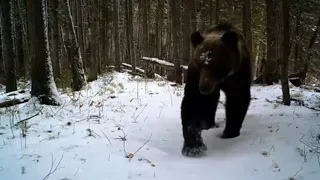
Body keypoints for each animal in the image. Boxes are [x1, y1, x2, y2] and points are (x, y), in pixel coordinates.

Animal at [180, 21, 252, 156]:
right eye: (200, 62)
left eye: (215, 63)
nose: (203, 88)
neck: (222, 79)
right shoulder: (195, 76)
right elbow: (192, 102)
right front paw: (194, 146)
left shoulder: (238, 75)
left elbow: (237, 100)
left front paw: (229, 133)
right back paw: (207, 124)